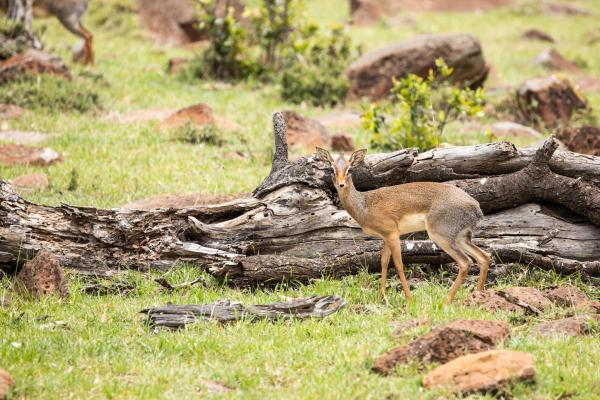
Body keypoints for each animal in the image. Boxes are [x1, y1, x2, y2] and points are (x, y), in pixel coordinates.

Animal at [316, 148, 490, 304]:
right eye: (331, 168)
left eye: (350, 168)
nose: (341, 184)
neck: (365, 205)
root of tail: (476, 207)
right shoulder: (385, 237)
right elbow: (384, 262)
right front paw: (382, 297)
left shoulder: (393, 235)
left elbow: (399, 265)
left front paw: (409, 299)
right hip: (461, 238)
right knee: (484, 257)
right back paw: (477, 295)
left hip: (440, 236)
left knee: (465, 262)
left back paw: (446, 301)